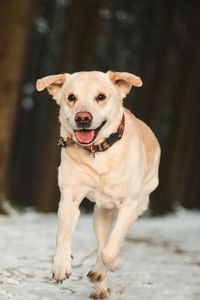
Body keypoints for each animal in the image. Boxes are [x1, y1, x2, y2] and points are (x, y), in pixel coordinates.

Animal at [36, 70, 161, 298]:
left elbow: (110, 249)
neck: (99, 151)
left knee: (110, 243)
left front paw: (116, 263)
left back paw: (101, 271)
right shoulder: (69, 198)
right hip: (101, 213)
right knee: (102, 241)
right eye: (71, 97)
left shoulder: (129, 204)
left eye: (101, 97)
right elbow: (63, 235)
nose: (83, 118)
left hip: (139, 202)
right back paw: (100, 281)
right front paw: (61, 265)